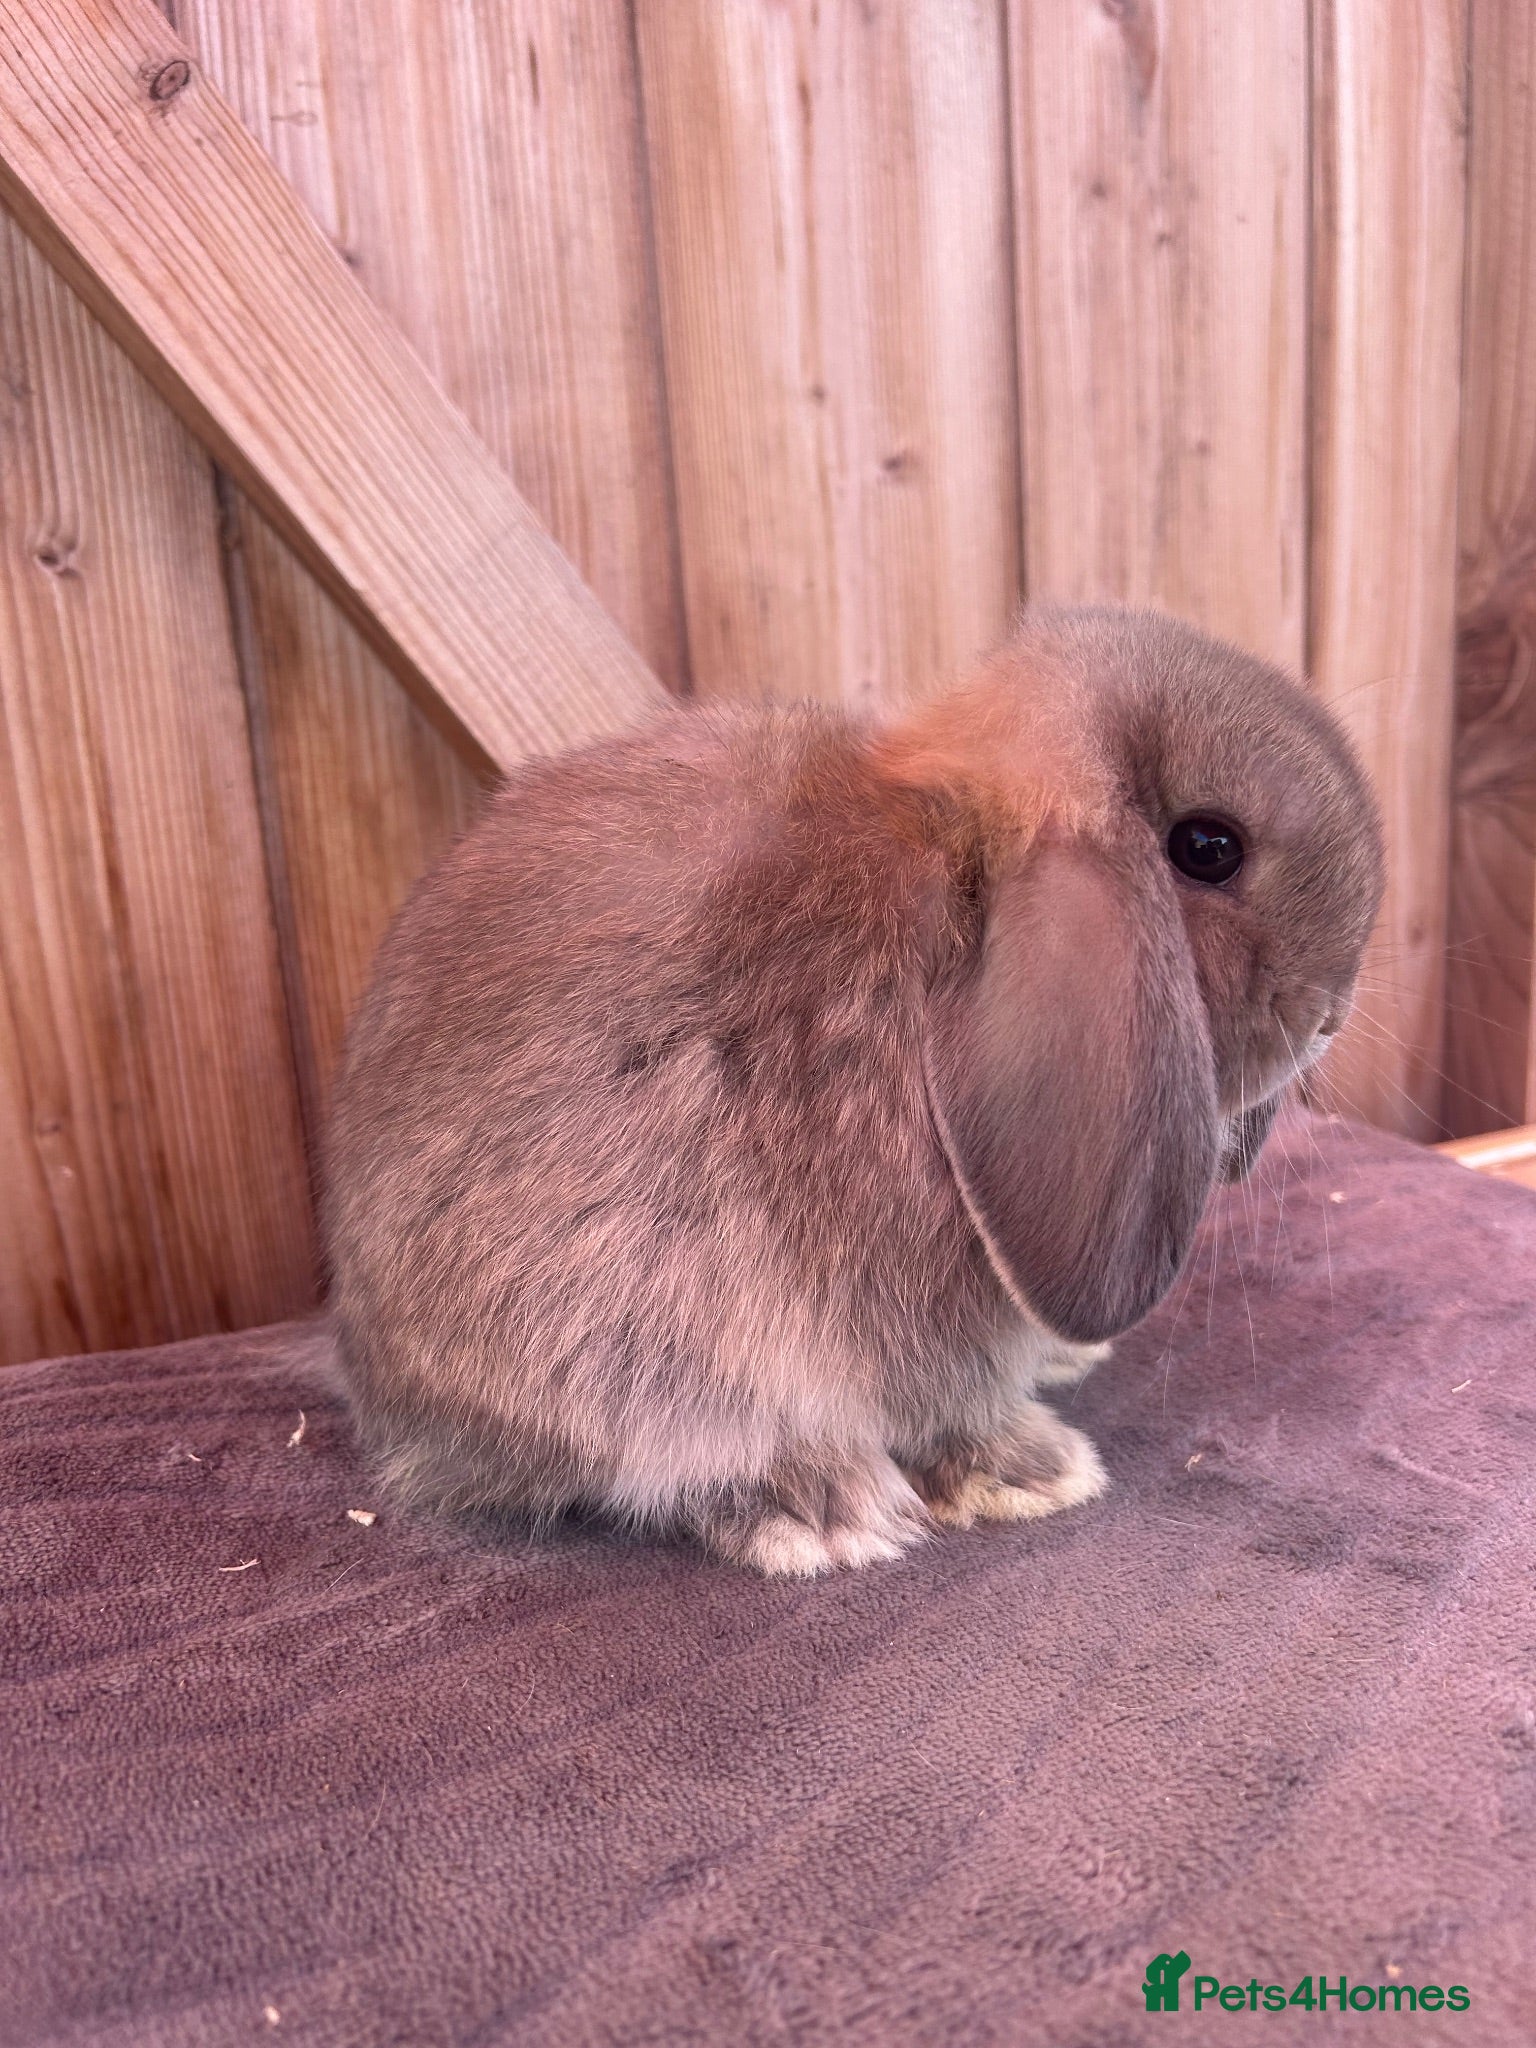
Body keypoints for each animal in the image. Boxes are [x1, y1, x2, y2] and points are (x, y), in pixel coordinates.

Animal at [324, 606, 1384, 1575]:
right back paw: (821, 1508)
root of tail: (397, 1408)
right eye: (1207, 848)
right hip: (642, 1327)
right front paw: (1039, 1470)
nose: (1324, 1018)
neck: (964, 869)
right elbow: (948, 1405)